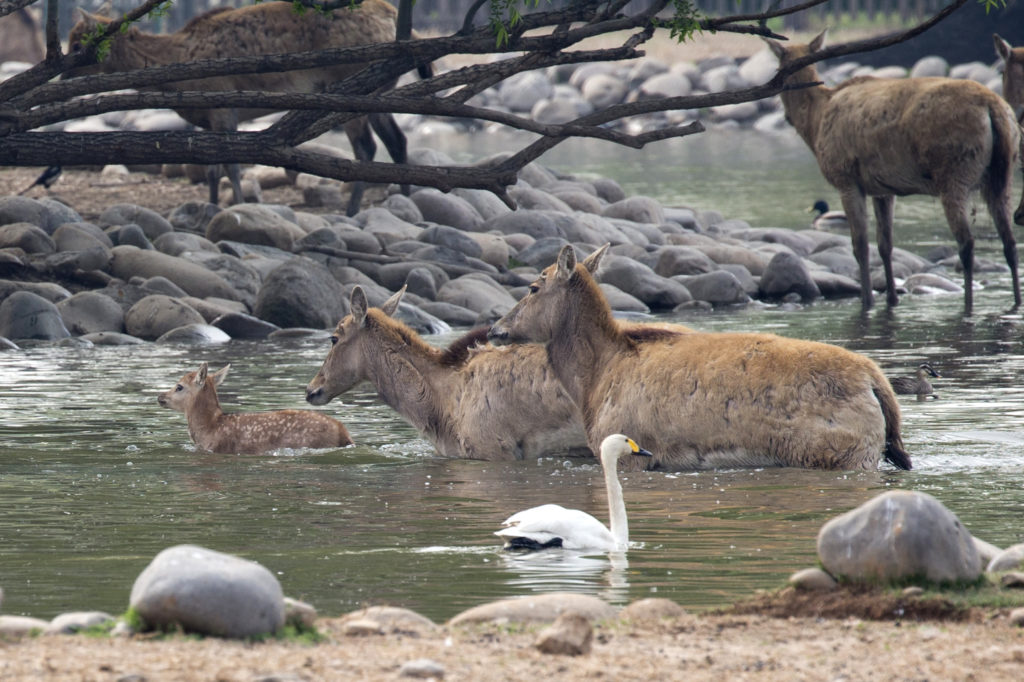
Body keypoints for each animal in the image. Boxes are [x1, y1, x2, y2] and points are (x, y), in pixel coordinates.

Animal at [487, 244, 913, 473]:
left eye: (533, 287)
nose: (496, 328)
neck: (592, 380)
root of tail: (877, 382)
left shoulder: (633, 450)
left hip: (845, 454)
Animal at [765, 30, 1019, 309]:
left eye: (777, 66)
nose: (783, 114)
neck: (814, 123)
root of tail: (994, 108)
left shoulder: (846, 178)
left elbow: (860, 245)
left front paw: (867, 301)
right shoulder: (883, 188)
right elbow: (885, 245)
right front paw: (892, 298)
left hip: (954, 171)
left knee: (966, 242)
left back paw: (968, 306)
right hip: (1001, 174)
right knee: (1010, 241)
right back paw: (1015, 301)